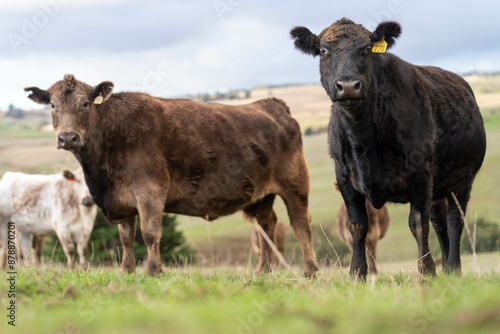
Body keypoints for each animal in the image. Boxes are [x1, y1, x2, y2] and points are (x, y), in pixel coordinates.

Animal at [24, 75, 320, 276]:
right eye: (52, 105)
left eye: (85, 103)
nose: (68, 137)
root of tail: (271, 104)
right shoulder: (122, 200)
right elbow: (126, 238)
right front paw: (127, 271)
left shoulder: (150, 190)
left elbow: (149, 233)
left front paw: (154, 270)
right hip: (261, 195)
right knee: (266, 226)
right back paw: (262, 272)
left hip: (295, 185)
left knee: (300, 224)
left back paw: (309, 270)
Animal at [292, 18, 486, 280]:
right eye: (323, 50)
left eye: (366, 49)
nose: (348, 86)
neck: (364, 137)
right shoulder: (343, 176)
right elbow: (357, 225)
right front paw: (357, 273)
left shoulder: (421, 174)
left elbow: (418, 224)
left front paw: (426, 272)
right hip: (438, 190)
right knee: (440, 222)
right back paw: (446, 269)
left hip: (462, 180)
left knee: (455, 220)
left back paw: (454, 268)